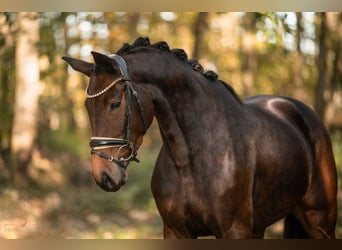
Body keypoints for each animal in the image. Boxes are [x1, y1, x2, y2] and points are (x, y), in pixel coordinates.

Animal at [62, 36, 338, 238]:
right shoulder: (175, 231)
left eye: (115, 104)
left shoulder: (234, 231)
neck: (192, 157)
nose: (104, 176)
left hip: (320, 220)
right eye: (87, 107)